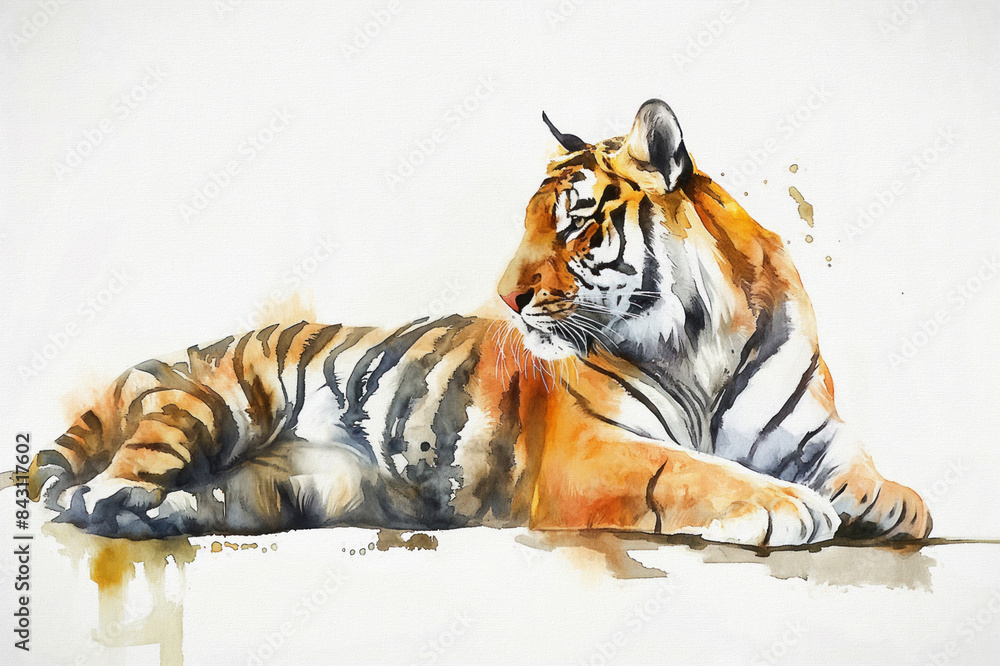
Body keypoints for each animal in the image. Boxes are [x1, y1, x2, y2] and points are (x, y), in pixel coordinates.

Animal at [26, 99, 931, 547]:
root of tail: (175, 355)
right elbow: (693, 471)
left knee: (202, 496)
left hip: (306, 481)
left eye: (574, 223)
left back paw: (162, 516)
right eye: (527, 219)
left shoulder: (814, 429)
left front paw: (894, 503)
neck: (704, 338)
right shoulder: (595, 450)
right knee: (101, 486)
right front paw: (791, 506)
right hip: (215, 405)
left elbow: (858, 467)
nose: (506, 297)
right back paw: (120, 506)